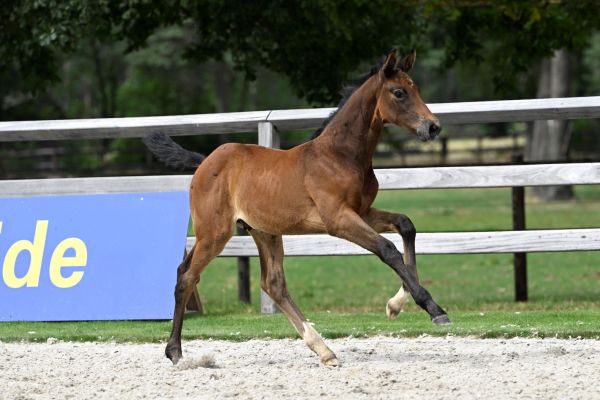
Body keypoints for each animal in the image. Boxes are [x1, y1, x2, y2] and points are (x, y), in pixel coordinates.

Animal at [145, 50, 450, 366]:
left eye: (416, 88)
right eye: (399, 92)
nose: (433, 126)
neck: (340, 156)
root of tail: (204, 163)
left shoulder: (363, 211)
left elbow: (406, 225)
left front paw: (395, 304)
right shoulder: (338, 219)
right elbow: (387, 249)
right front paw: (434, 309)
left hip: (262, 232)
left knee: (271, 283)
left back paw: (324, 349)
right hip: (214, 233)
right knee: (189, 276)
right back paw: (175, 351)